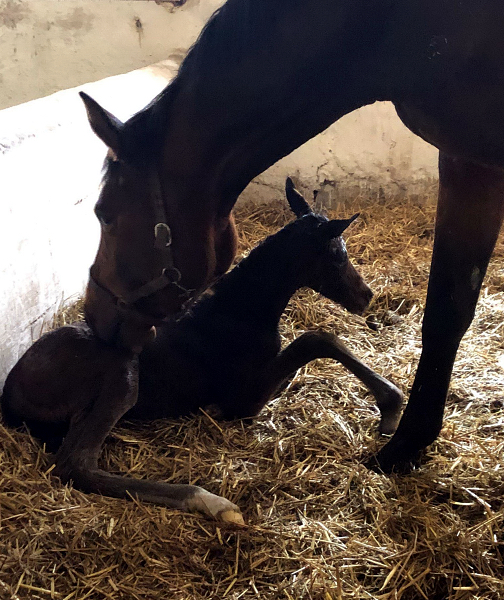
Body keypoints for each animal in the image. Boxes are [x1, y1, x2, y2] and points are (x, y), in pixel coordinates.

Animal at [0, 180, 402, 524]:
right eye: (338, 254)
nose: (366, 296)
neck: (238, 311)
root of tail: (11, 391)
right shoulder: (243, 402)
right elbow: (318, 339)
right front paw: (391, 407)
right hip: (122, 373)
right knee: (76, 465)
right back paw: (211, 502)